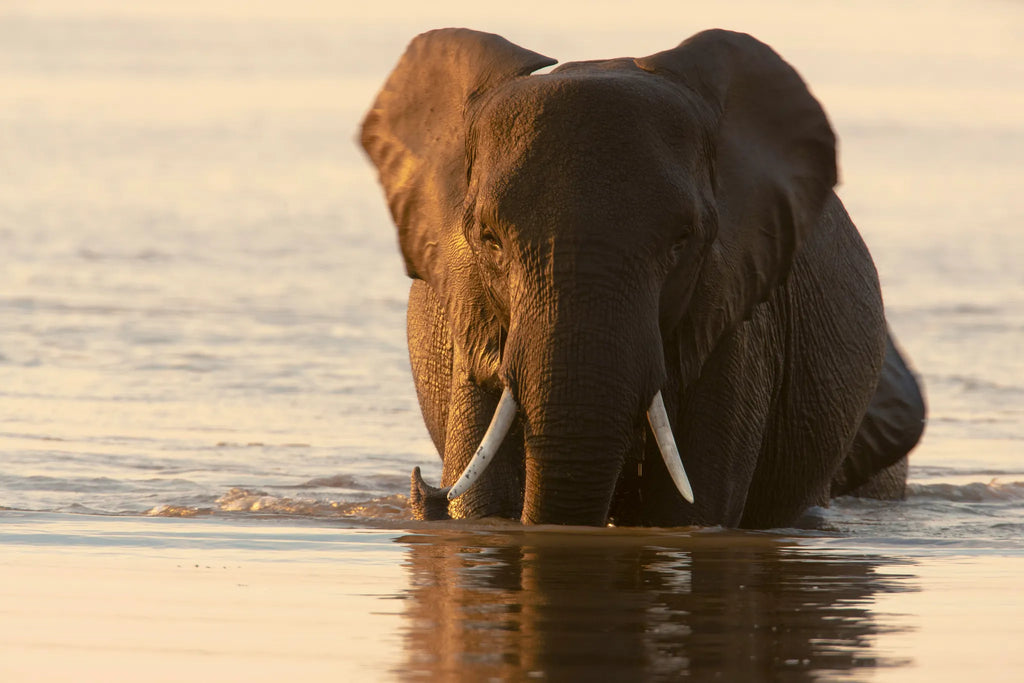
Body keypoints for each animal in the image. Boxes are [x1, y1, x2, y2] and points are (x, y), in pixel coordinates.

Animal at [360, 28, 926, 528]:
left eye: (682, 241)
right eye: (489, 239)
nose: (424, 486)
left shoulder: (736, 322)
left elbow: (694, 509)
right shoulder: (473, 311)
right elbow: (482, 504)